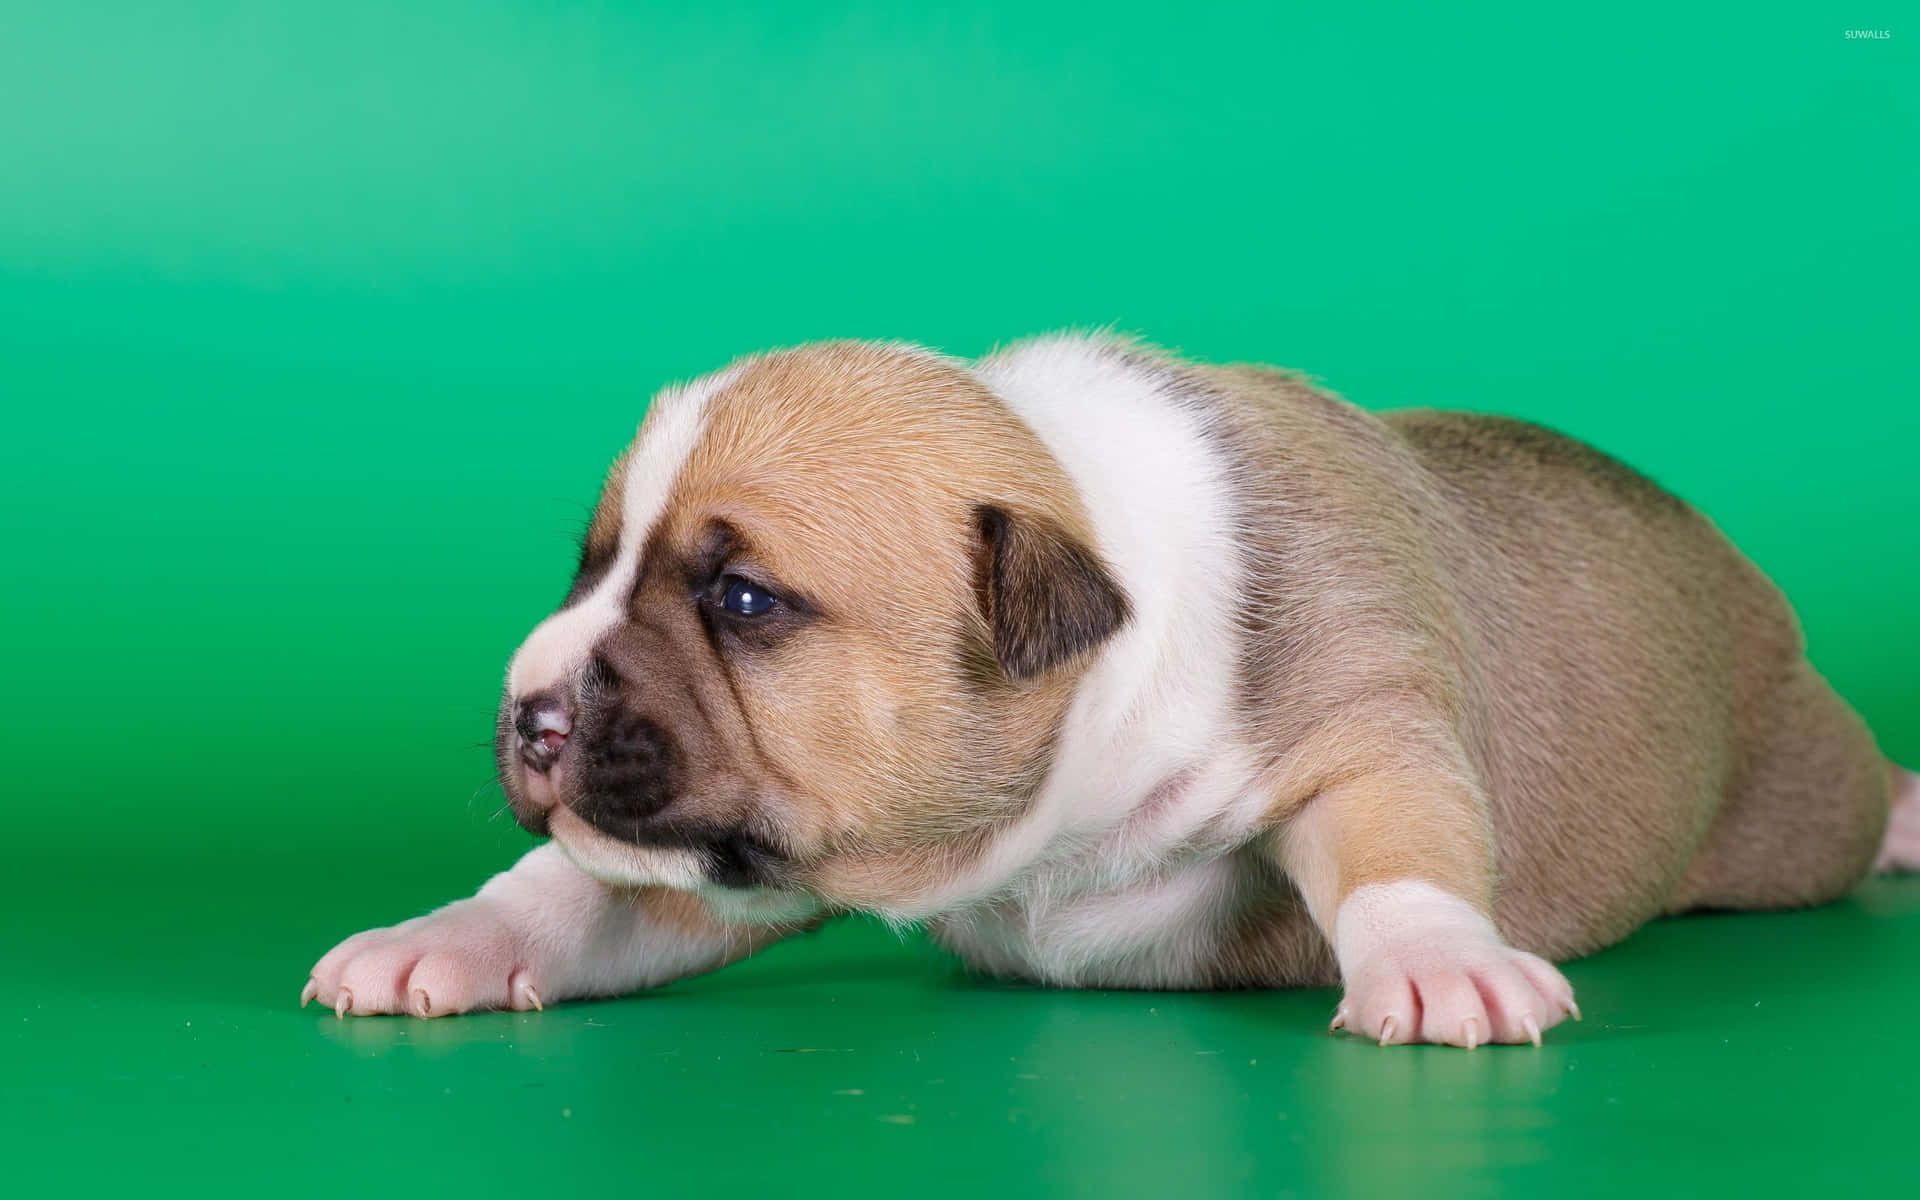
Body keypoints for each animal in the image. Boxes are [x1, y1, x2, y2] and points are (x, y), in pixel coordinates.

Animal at [303, 332, 1920, 1044]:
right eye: (591, 568)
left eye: (744, 601)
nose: (533, 713)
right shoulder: (717, 855)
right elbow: (576, 893)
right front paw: (444, 936)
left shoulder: (1364, 718)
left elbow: (1399, 849)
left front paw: (1436, 957)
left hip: (1791, 804)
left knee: (1845, 798)